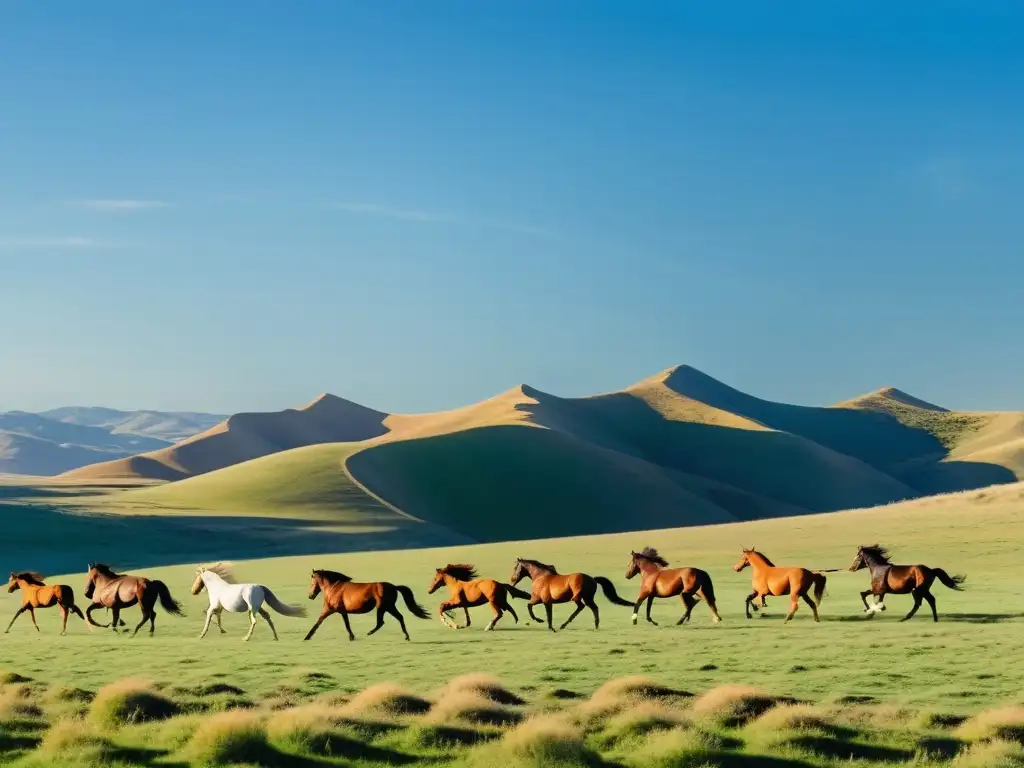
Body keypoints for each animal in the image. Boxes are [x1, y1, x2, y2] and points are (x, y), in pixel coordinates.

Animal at [303, 573, 432, 643]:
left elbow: (320, 622)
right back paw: (406, 637)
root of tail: (394, 587)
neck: (334, 588)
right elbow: (323, 623)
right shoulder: (339, 611)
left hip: (383, 607)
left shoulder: (333, 610)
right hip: (389, 607)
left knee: (381, 622)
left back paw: (369, 633)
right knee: (399, 617)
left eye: (312, 581)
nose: (310, 595)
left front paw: (307, 637)